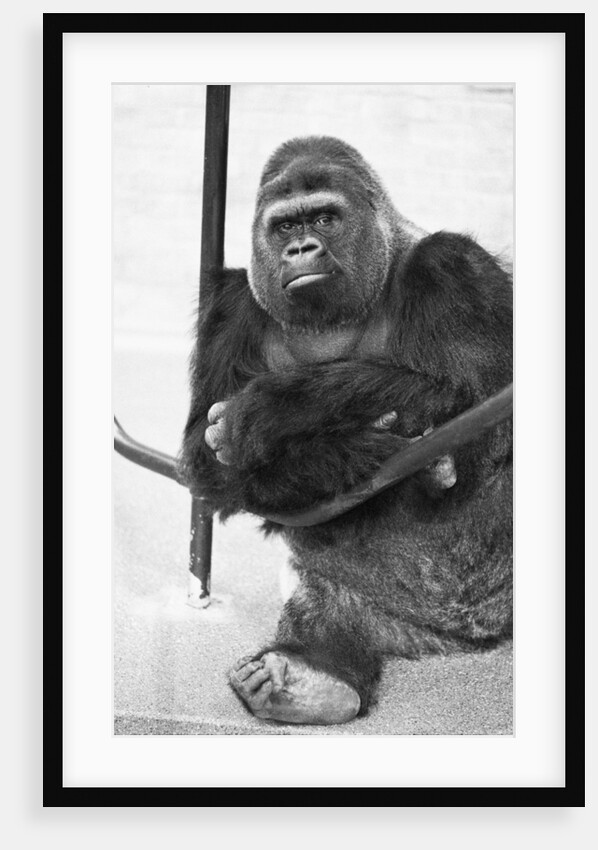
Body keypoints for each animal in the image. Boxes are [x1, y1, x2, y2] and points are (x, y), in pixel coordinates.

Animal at [180, 136, 512, 725]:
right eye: (285, 226)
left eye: (324, 218)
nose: (301, 248)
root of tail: (453, 640)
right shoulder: (230, 303)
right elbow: (206, 457)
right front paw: (343, 452)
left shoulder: (455, 264)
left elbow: (481, 393)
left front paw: (274, 409)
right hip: (375, 615)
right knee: (330, 606)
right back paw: (308, 674)